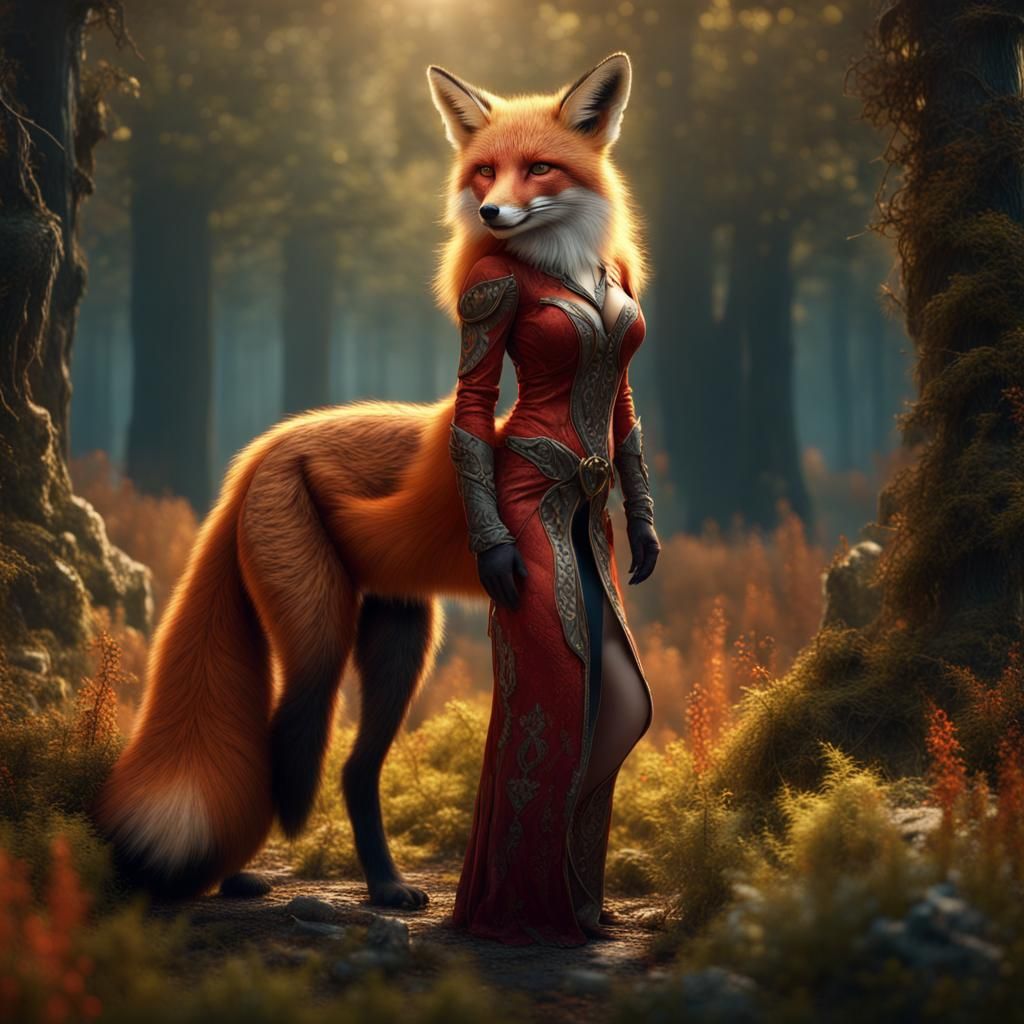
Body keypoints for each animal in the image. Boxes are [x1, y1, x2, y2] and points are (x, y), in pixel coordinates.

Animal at [94, 51, 648, 909]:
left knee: (357, 770)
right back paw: (238, 877)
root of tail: (264, 447)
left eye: (539, 168)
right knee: (285, 743)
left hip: (400, 640)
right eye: (483, 170)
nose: (490, 213)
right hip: (319, 633)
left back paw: (386, 885)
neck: (568, 272)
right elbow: (476, 399)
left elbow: (626, 426)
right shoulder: (490, 307)